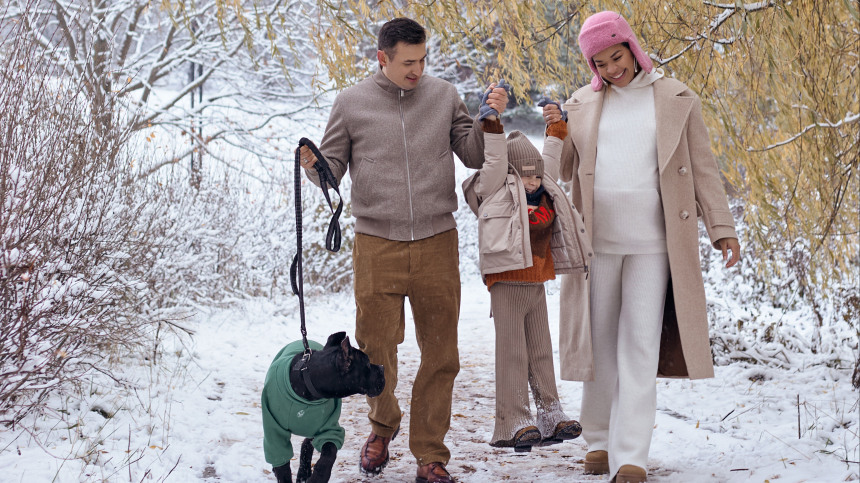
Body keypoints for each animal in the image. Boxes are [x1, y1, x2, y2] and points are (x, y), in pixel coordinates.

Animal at [260, 332, 384, 483]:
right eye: (367, 364)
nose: (382, 368)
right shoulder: (274, 432)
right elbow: (282, 465)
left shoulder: (329, 429)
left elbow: (328, 453)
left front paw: (318, 477)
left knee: (307, 443)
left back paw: (304, 473)